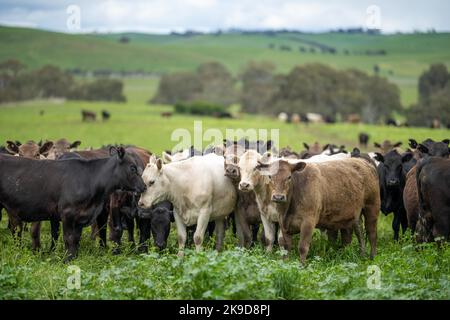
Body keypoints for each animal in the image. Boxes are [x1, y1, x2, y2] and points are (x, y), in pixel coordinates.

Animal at [0, 148, 145, 260]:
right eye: (132, 168)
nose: (143, 187)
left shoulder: (81, 217)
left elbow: (75, 239)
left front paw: (74, 257)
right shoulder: (67, 214)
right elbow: (68, 238)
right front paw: (67, 259)